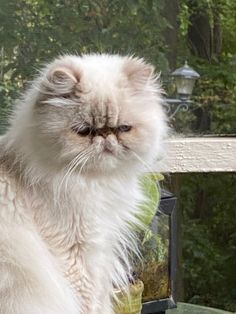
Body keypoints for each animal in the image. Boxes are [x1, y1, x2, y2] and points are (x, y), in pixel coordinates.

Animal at [0, 54, 166, 314]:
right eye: (84, 131)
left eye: (123, 129)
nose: (106, 136)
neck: (95, 183)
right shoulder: (77, 253)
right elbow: (89, 302)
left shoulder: (102, 248)